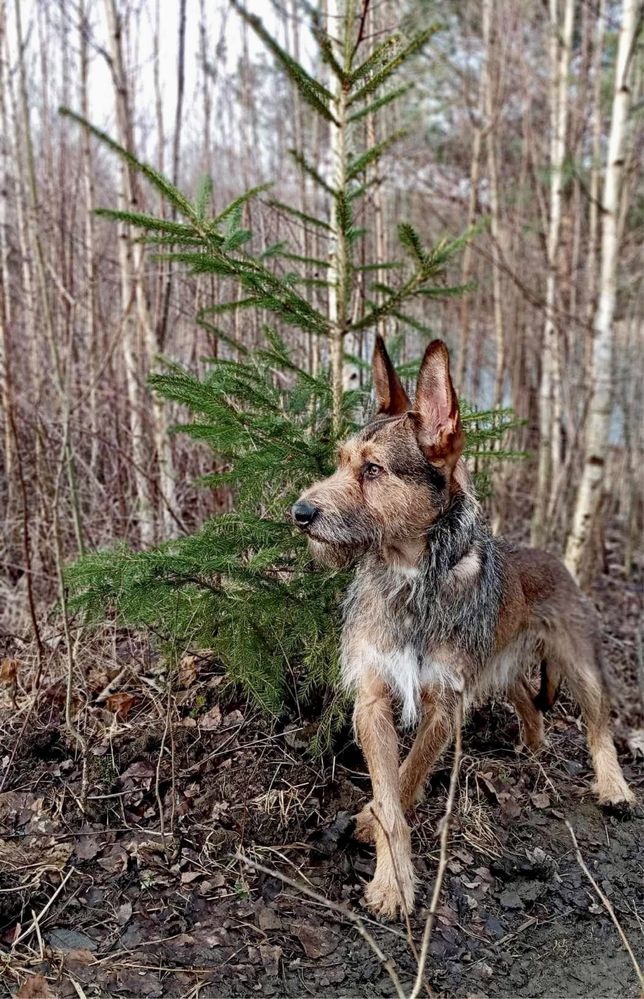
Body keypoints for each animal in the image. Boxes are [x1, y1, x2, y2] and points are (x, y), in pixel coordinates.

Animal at [292, 338, 632, 920]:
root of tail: (555, 558)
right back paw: (533, 745)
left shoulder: (445, 702)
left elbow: (407, 777)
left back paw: (614, 787)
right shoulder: (373, 697)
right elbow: (389, 794)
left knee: (598, 724)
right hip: (500, 666)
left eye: (373, 470)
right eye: (340, 462)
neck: (412, 578)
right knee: (525, 699)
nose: (300, 512)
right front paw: (390, 872)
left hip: (577, 662)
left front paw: (387, 871)